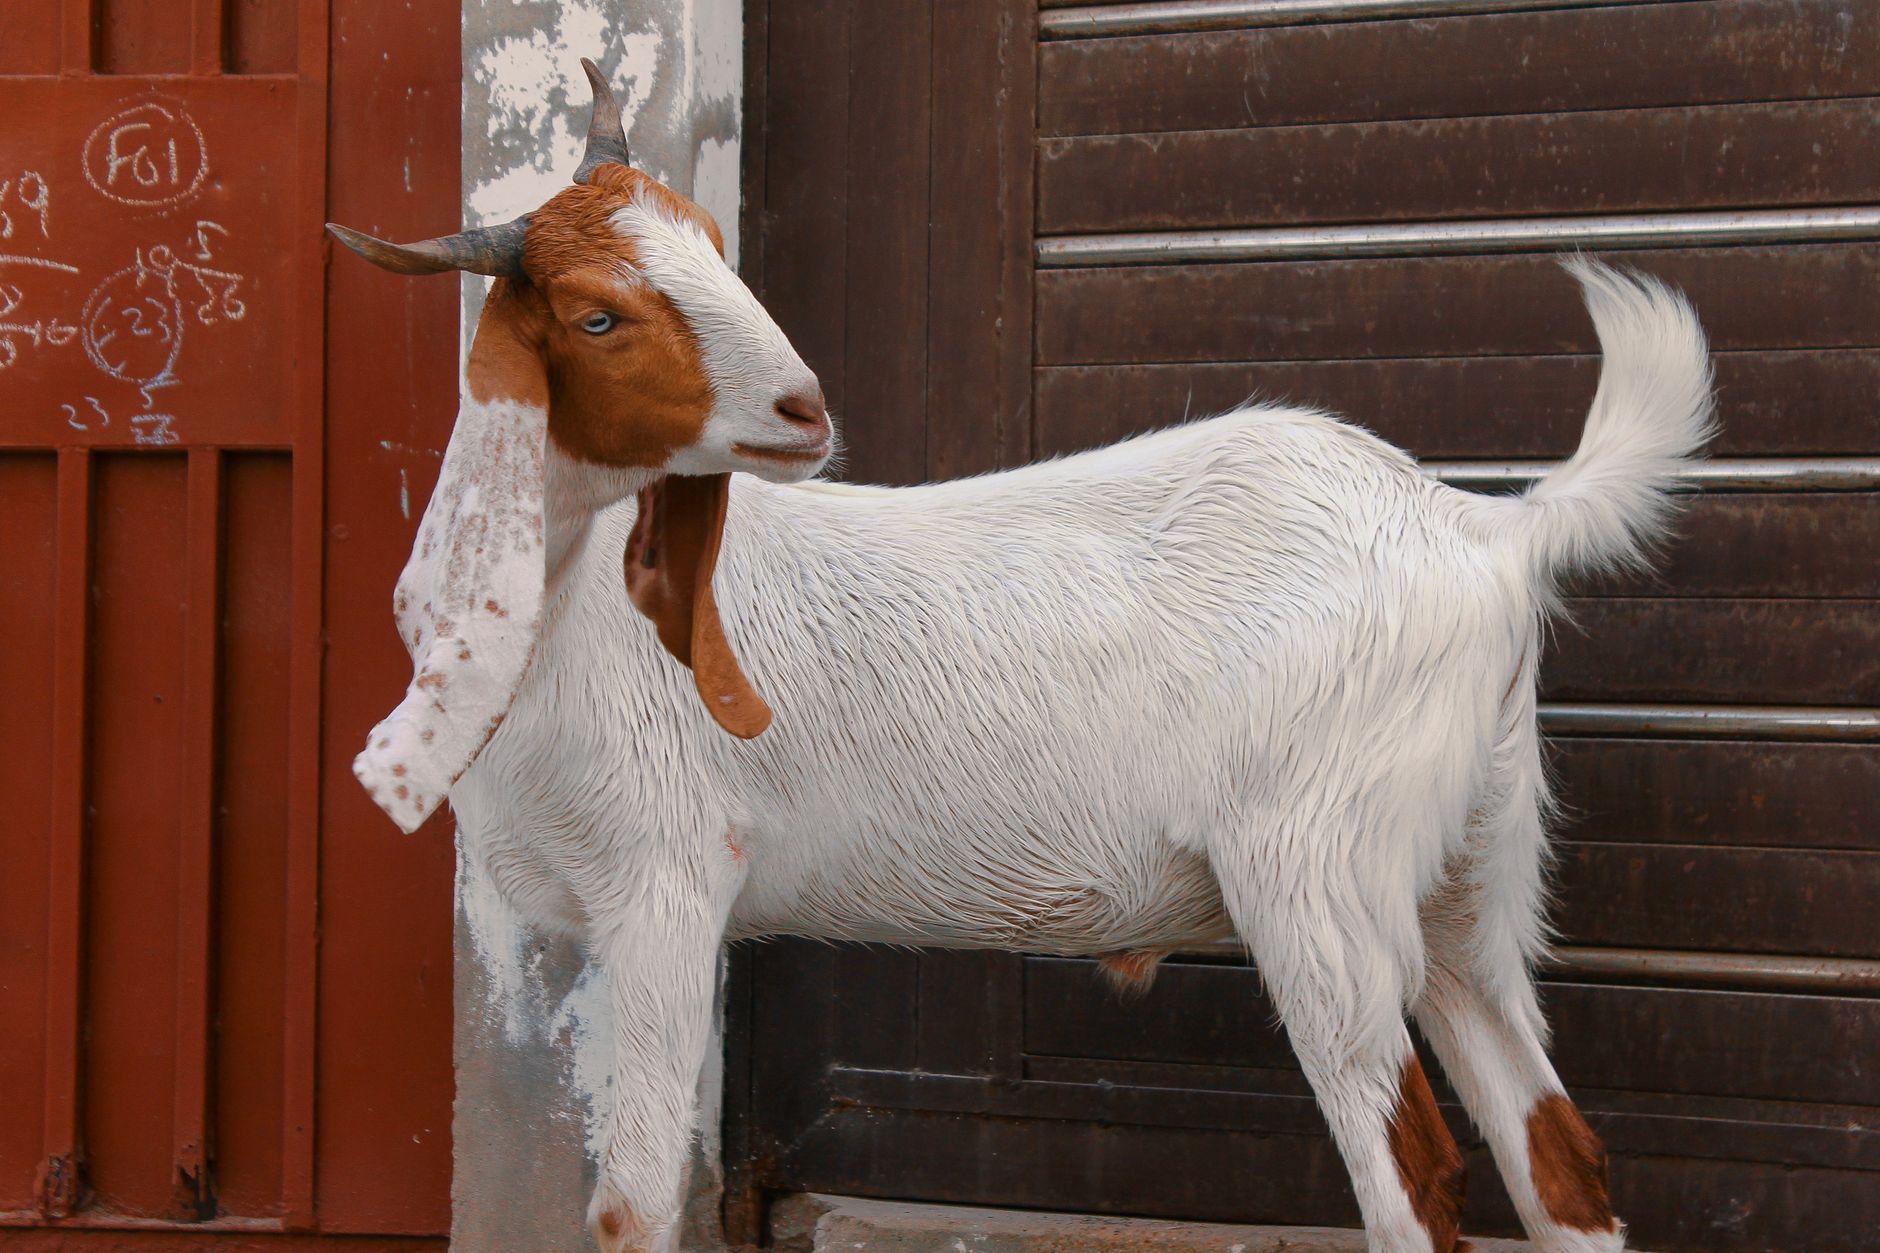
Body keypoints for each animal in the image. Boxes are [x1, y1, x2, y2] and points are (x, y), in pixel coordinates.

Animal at [331, 62, 1713, 1253]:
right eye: (596, 312)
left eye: (715, 252)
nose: (801, 410)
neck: (568, 628)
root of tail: (1483, 529)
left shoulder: (667, 881)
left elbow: (631, 1201)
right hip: (1468, 874)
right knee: (1559, 1156)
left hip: (1315, 868)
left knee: (1411, 1177)